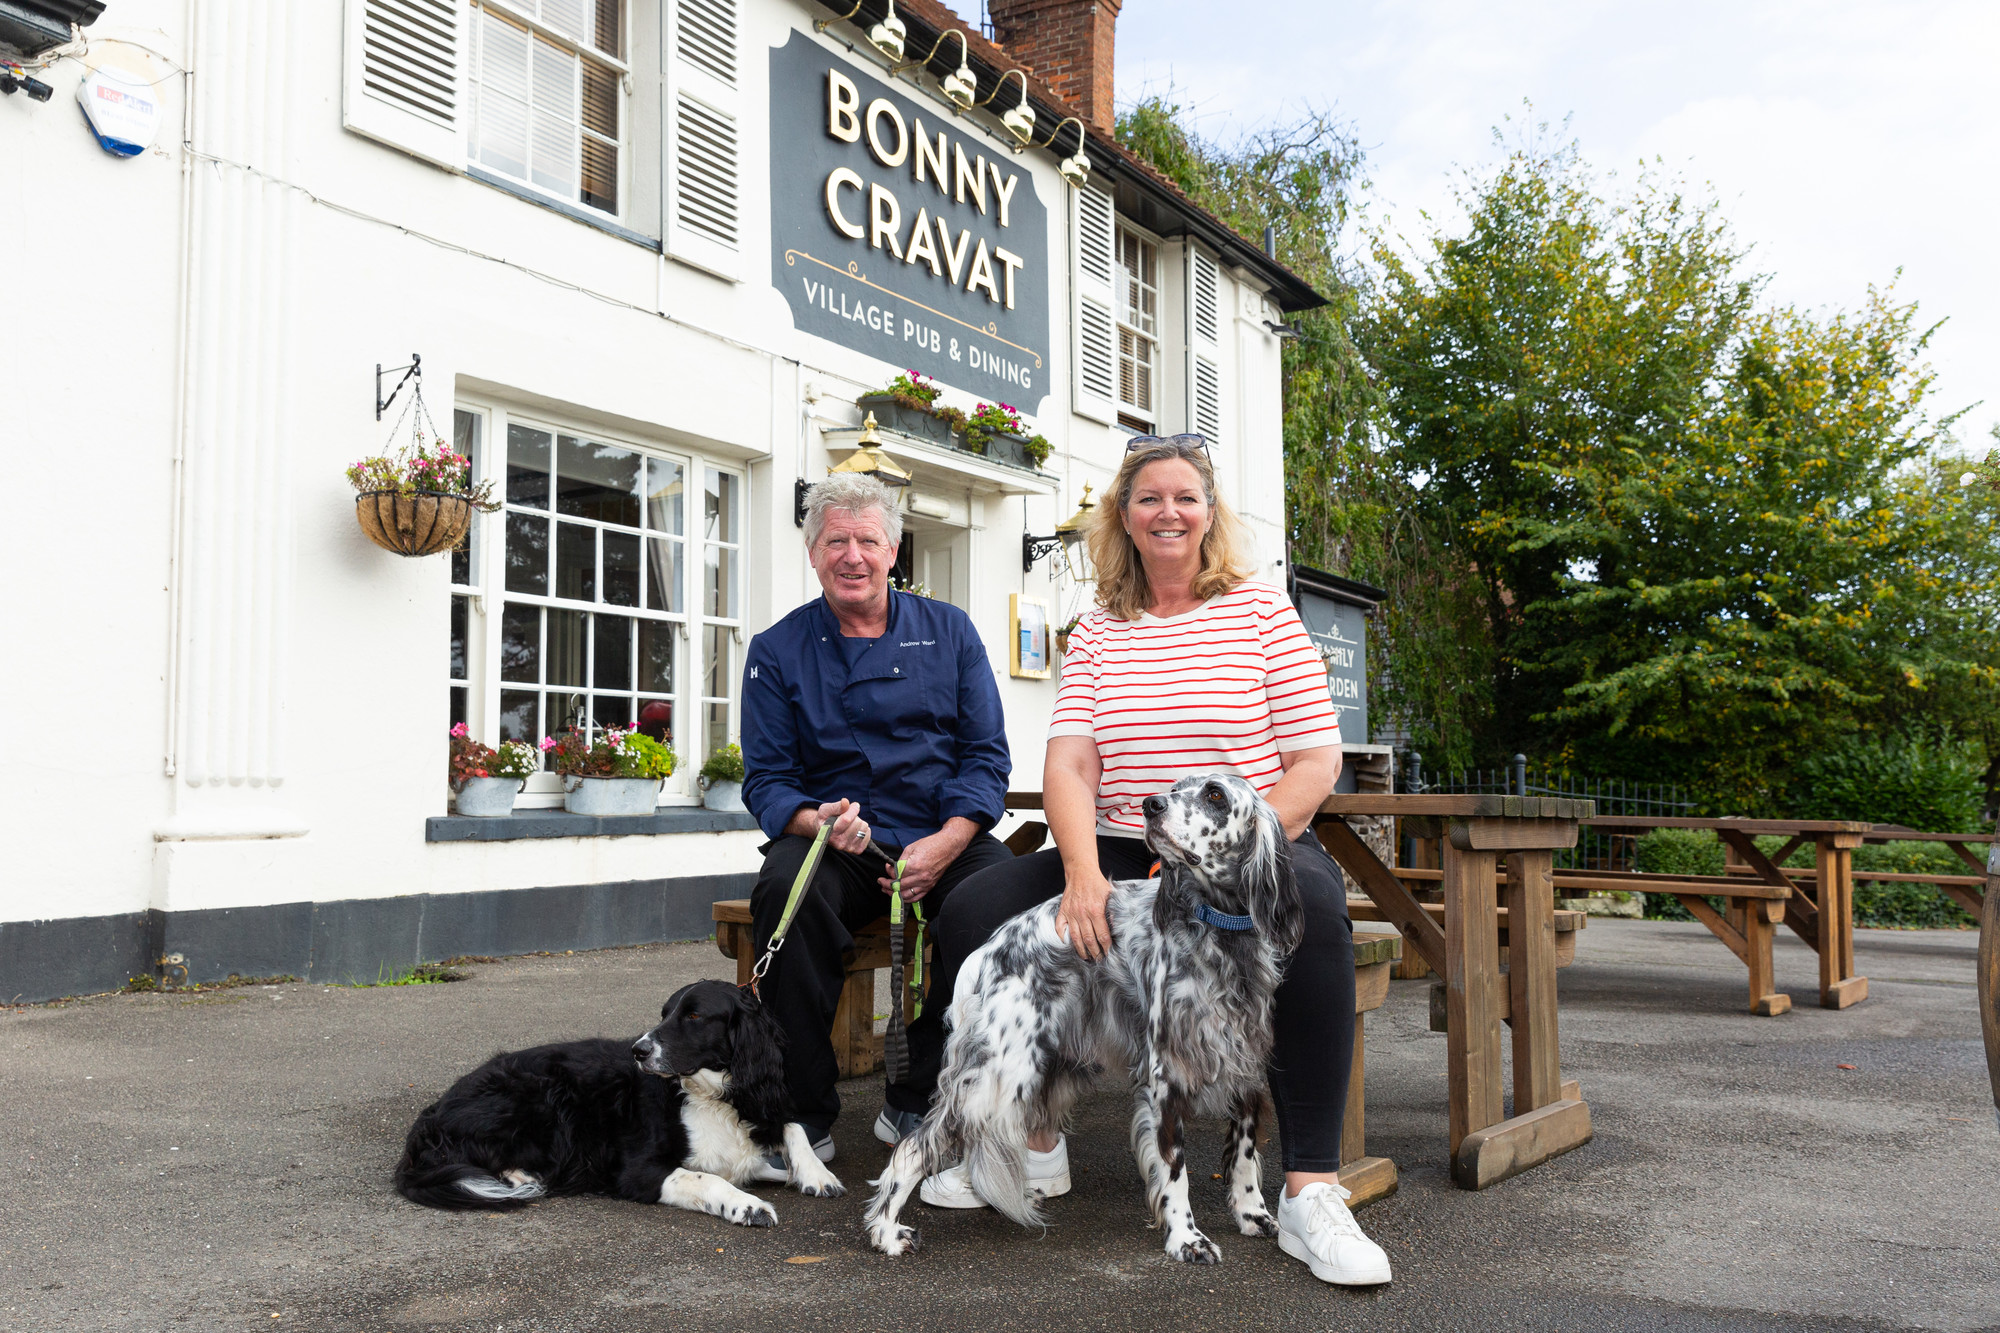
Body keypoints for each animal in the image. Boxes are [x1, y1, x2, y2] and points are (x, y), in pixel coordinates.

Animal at [398, 976, 844, 1224]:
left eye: (694, 1016)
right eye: (664, 1013)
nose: (638, 1051)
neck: (711, 1096)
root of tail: (429, 1119)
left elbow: (790, 1126)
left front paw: (816, 1173)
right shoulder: (639, 1171)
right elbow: (708, 1178)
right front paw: (747, 1206)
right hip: (545, 1098)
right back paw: (520, 1176)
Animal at [868, 768, 1304, 1256]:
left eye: (1215, 794)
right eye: (1175, 789)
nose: (1151, 804)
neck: (1220, 931)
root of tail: (990, 949)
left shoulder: (1245, 1063)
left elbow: (1244, 1153)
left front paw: (1252, 1214)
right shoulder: (1165, 1077)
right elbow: (1175, 1170)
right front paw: (1185, 1238)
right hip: (999, 1076)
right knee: (915, 1146)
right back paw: (886, 1231)